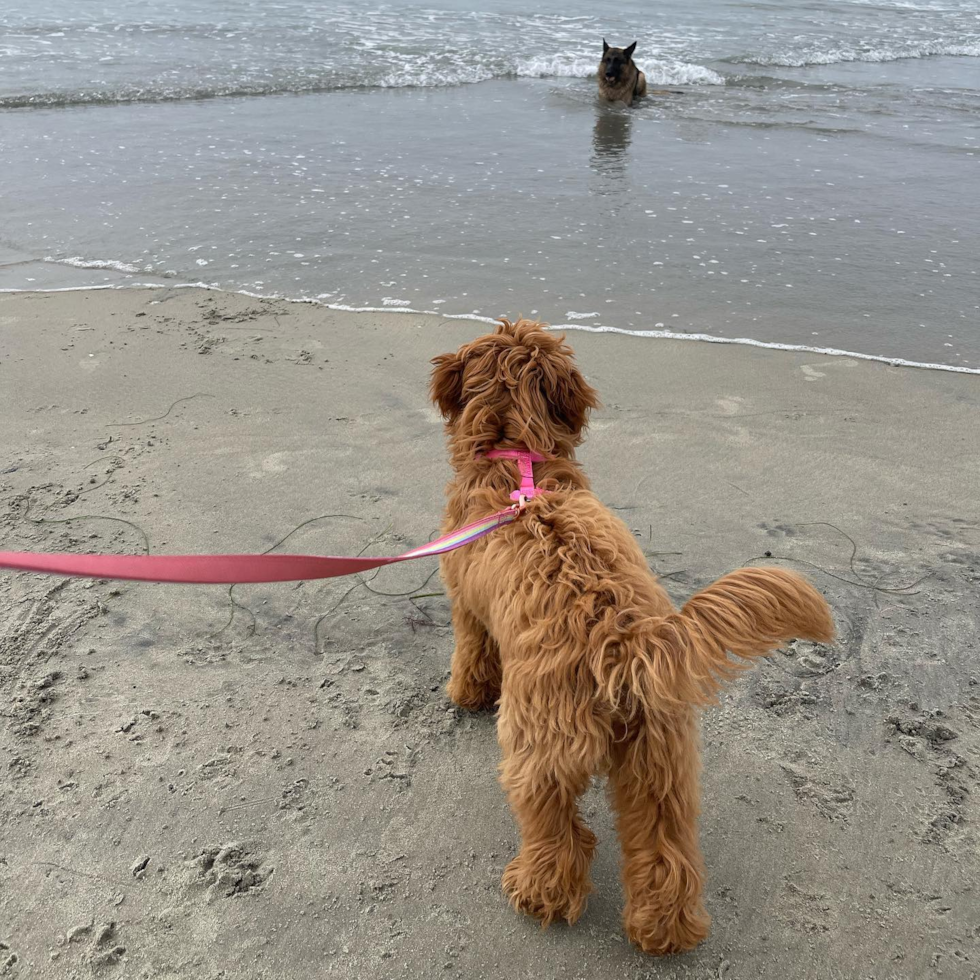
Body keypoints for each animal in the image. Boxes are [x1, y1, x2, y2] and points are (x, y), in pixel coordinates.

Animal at [430, 318, 836, 952]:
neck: (517, 459)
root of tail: (623, 643)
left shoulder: (466, 606)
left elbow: (471, 655)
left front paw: (465, 694)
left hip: (538, 747)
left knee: (558, 832)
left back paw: (538, 893)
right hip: (660, 762)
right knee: (665, 852)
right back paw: (664, 930)